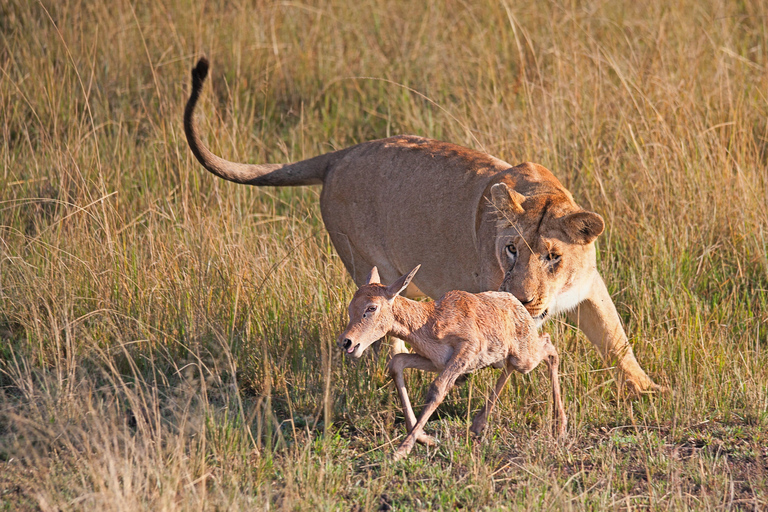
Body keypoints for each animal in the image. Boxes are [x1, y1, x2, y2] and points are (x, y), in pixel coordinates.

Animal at [340, 266, 568, 458]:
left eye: (372, 307)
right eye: (351, 305)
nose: (346, 341)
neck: (430, 320)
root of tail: (516, 304)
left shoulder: (466, 349)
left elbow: (438, 388)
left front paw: (401, 452)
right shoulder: (435, 361)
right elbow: (396, 363)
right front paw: (427, 439)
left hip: (525, 357)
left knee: (549, 347)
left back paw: (560, 426)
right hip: (510, 357)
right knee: (513, 365)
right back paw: (477, 425)